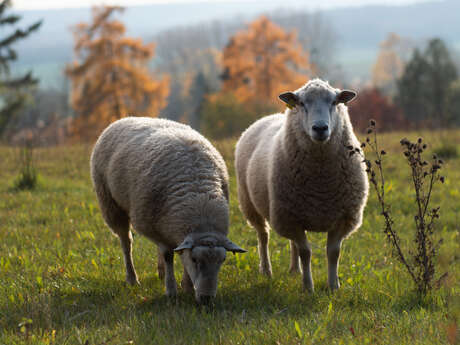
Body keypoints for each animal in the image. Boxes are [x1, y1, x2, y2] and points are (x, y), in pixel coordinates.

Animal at [91, 117, 246, 302]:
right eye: (195, 260)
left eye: (222, 261)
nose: (206, 299)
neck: (199, 199)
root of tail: (125, 118)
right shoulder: (157, 227)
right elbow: (168, 255)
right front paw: (171, 291)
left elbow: (179, 253)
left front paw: (187, 287)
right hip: (111, 204)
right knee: (126, 242)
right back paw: (132, 278)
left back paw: (160, 272)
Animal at [235, 78, 368, 290]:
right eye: (302, 103)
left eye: (334, 102)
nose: (320, 128)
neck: (321, 182)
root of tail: (269, 117)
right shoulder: (290, 217)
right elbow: (306, 252)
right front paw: (308, 287)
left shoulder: (342, 217)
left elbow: (333, 253)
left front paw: (333, 286)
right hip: (251, 205)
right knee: (263, 236)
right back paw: (266, 270)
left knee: (292, 243)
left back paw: (294, 270)